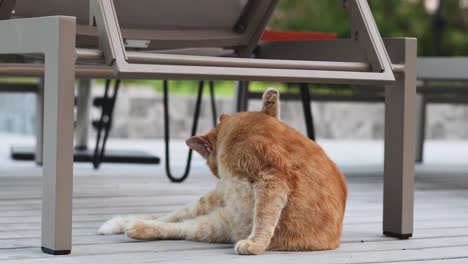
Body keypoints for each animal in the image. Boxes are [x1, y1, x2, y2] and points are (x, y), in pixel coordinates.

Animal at [98, 88, 348, 254]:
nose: (217, 173)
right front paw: (270, 100)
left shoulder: (272, 177)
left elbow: (265, 216)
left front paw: (255, 243)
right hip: (210, 204)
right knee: (173, 217)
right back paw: (127, 224)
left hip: (213, 223)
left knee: (177, 226)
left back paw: (135, 227)